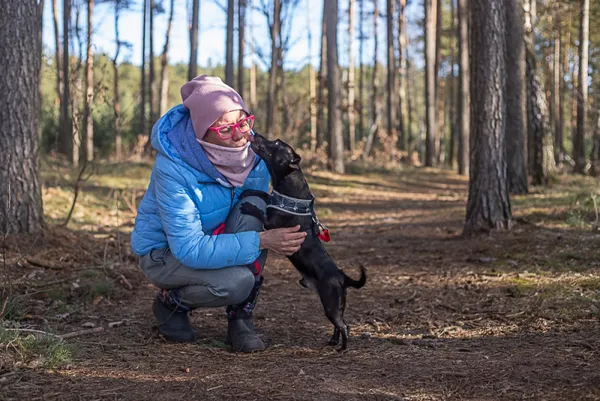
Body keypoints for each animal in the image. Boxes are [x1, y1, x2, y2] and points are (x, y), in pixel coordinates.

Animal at [243, 133, 366, 348]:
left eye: (276, 143)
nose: (256, 134)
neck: (289, 188)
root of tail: (342, 277)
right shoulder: (271, 201)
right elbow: (263, 195)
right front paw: (248, 192)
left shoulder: (272, 223)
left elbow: (259, 210)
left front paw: (248, 207)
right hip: (334, 305)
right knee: (342, 325)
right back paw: (333, 342)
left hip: (331, 304)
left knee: (344, 326)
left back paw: (342, 348)